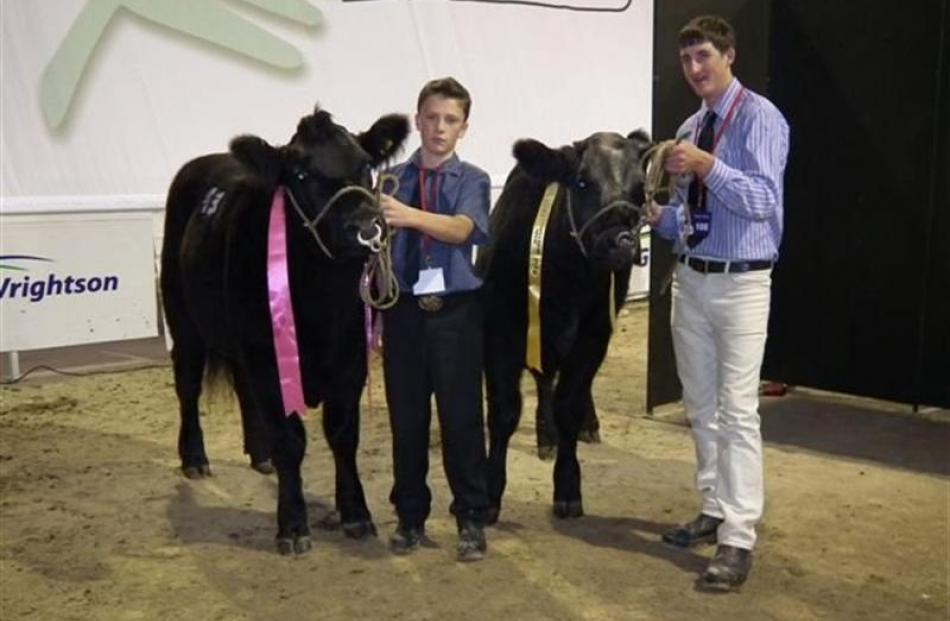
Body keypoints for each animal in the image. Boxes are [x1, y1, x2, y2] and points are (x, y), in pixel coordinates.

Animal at [164, 104, 410, 556]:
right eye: (299, 174)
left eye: (366, 165)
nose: (366, 226)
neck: (323, 303)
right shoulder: (268, 359)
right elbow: (290, 441)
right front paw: (293, 525)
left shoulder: (350, 361)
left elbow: (343, 434)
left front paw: (355, 513)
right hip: (183, 320)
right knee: (187, 386)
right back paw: (194, 458)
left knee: (241, 387)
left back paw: (258, 454)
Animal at [480, 131, 652, 524]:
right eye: (583, 182)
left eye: (639, 188)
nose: (622, 242)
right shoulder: (501, 331)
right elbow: (504, 411)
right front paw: (490, 493)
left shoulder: (594, 334)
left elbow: (569, 404)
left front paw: (569, 488)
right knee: (544, 381)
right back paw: (546, 436)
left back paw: (585, 425)